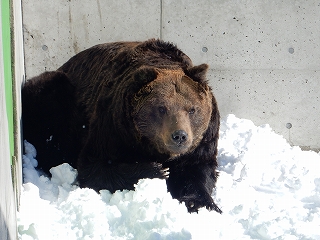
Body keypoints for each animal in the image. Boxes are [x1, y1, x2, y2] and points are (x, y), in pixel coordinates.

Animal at [22, 39, 221, 214]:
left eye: (192, 109)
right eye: (161, 108)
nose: (179, 135)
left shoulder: (204, 139)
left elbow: (197, 171)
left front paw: (202, 204)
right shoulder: (114, 125)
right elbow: (94, 165)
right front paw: (157, 170)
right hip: (59, 97)